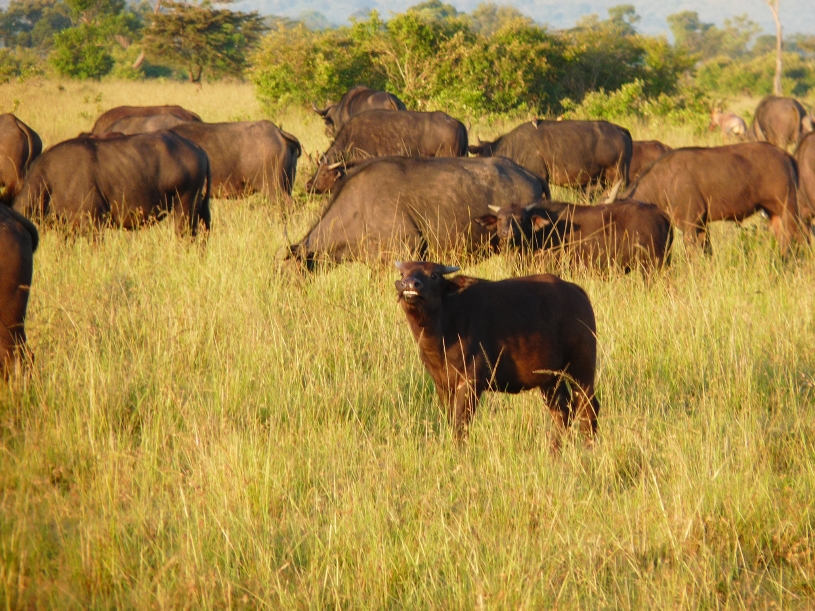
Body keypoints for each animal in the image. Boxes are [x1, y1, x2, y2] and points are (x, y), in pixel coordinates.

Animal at [14, 132, 210, 237]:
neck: (50, 180)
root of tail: (197, 148)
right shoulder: (67, 229)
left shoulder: (93, 223)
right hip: (199, 209)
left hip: (184, 209)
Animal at [395, 261, 599, 447]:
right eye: (403, 273)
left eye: (434, 275)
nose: (410, 285)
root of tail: (577, 292)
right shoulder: (442, 385)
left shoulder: (470, 383)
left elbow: (460, 424)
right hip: (550, 379)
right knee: (563, 410)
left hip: (581, 368)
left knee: (588, 406)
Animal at [622, 142, 801, 253]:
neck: (662, 182)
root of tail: (784, 154)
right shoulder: (702, 225)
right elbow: (707, 251)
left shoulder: (690, 224)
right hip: (773, 213)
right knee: (783, 238)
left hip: (788, 208)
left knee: (796, 236)